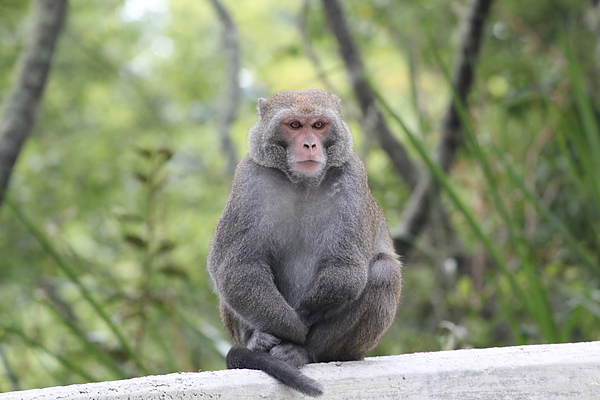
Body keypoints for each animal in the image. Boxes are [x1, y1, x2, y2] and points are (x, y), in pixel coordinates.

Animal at [206, 88, 404, 396]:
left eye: (319, 125)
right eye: (295, 125)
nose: (309, 144)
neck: (302, 184)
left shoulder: (352, 176)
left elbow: (345, 268)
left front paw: (300, 327)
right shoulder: (249, 178)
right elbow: (238, 269)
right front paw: (290, 327)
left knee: (384, 271)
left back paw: (304, 352)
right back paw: (257, 341)